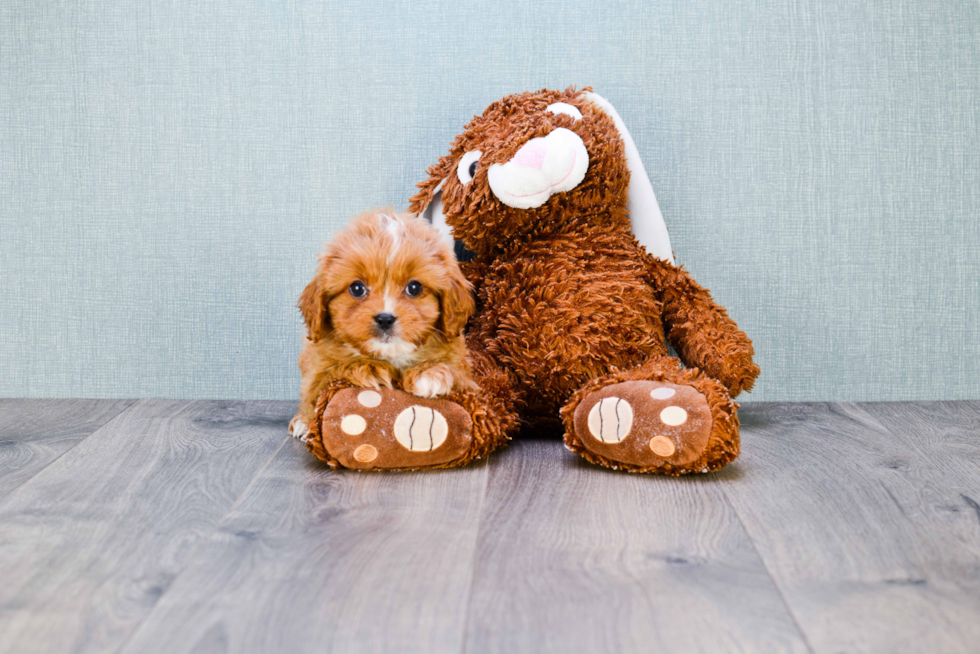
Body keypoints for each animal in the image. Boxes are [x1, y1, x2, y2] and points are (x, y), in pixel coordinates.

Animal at [290, 213, 476, 444]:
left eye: (414, 288)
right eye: (357, 288)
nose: (385, 319)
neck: (391, 355)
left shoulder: (468, 378)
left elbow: (456, 375)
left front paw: (429, 373)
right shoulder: (318, 372)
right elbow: (333, 374)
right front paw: (369, 369)